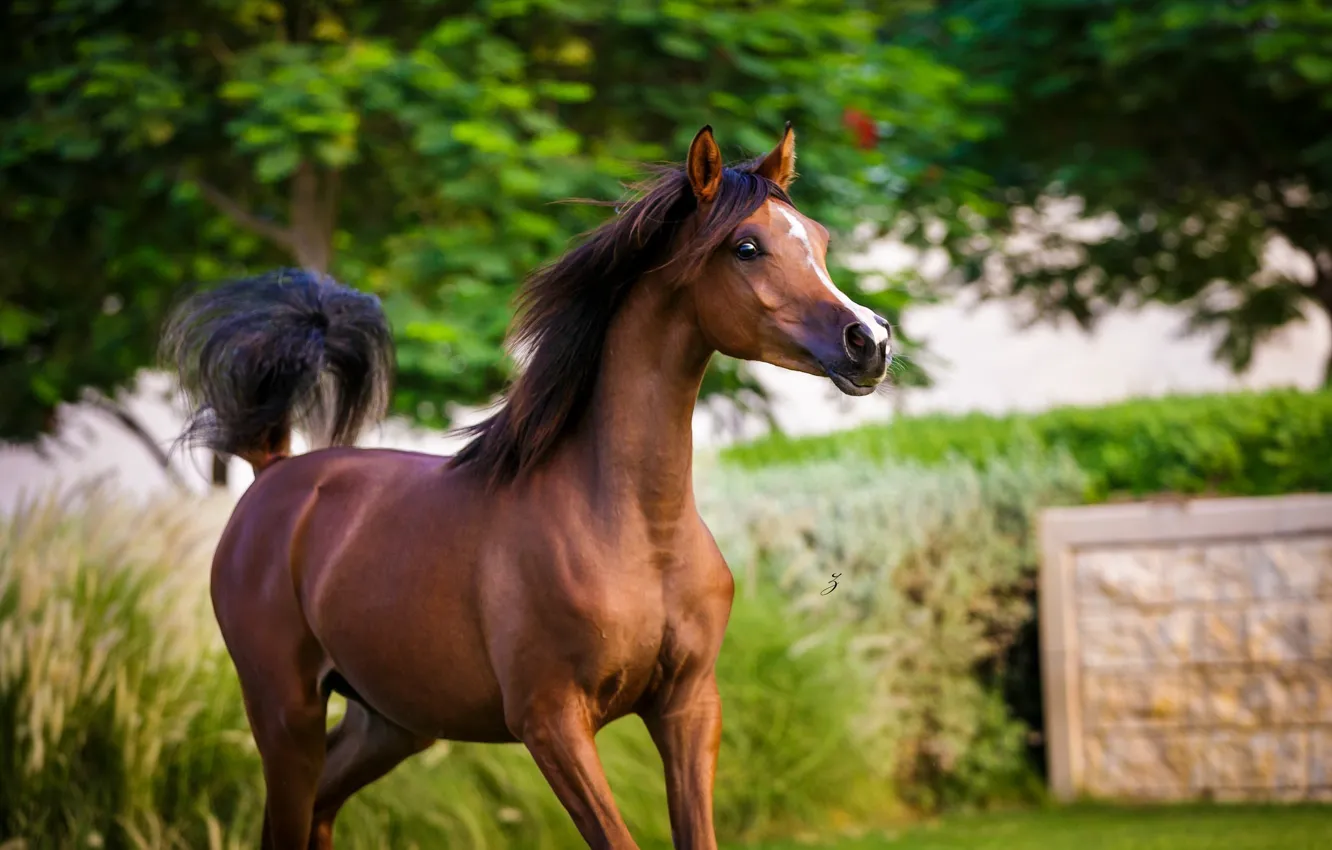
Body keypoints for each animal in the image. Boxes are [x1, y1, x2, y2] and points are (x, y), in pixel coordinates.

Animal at [162, 123, 891, 850]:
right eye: (746, 246)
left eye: (820, 239)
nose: (870, 340)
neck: (634, 530)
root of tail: (274, 471)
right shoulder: (551, 723)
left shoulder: (689, 707)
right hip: (286, 714)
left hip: (389, 721)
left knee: (317, 811)